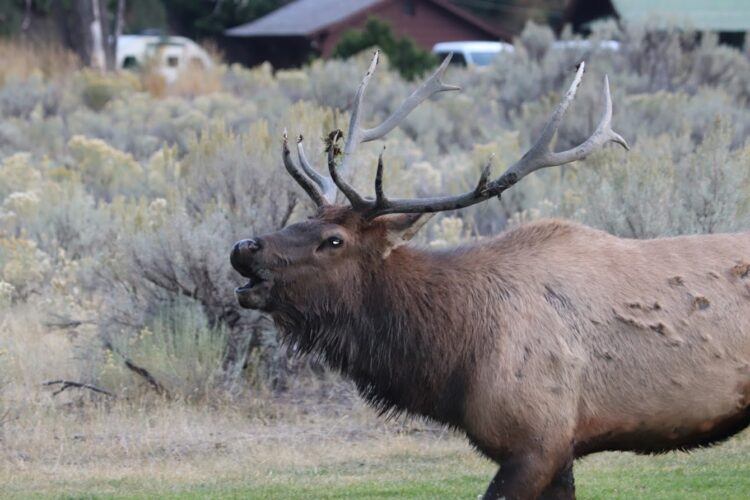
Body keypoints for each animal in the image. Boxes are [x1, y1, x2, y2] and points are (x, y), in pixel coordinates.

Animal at [229, 52, 750, 498]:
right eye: (305, 218)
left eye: (334, 240)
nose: (243, 248)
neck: (455, 355)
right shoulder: (559, 452)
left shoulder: (538, 441)